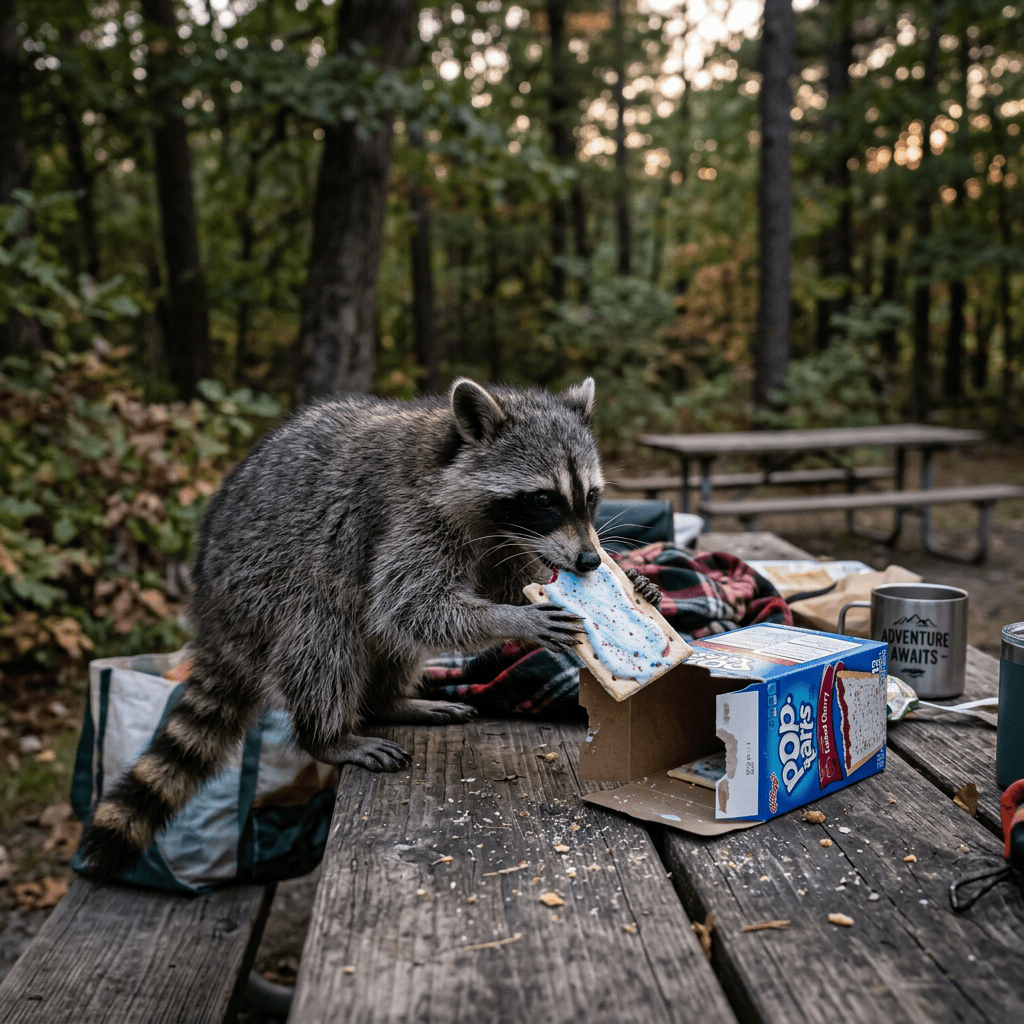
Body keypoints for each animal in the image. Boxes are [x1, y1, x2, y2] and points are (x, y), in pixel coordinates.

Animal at [80, 378, 660, 878]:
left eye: (591, 497)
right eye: (544, 499)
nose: (590, 561)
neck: (451, 462)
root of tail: (210, 612)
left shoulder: (503, 539)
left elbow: (500, 583)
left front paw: (634, 585)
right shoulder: (413, 518)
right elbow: (411, 605)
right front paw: (517, 618)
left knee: (383, 641)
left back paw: (389, 700)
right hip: (260, 585)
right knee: (324, 632)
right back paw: (327, 734)